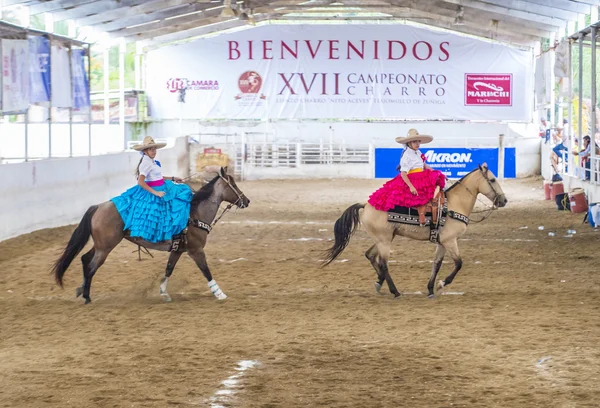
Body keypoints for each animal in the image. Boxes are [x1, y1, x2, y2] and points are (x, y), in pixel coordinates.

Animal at [51, 166, 248, 302]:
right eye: (233, 184)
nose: (246, 200)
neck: (194, 213)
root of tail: (99, 206)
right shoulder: (196, 250)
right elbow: (206, 271)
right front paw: (220, 293)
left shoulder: (178, 250)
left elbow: (169, 269)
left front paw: (164, 293)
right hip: (105, 248)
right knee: (91, 266)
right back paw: (87, 297)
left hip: (101, 245)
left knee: (85, 259)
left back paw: (81, 290)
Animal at [324, 164, 506, 298]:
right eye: (492, 179)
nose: (504, 200)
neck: (454, 205)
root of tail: (366, 204)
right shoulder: (450, 241)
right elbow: (458, 263)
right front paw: (441, 284)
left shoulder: (442, 242)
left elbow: (437, 264)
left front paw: (431, 289)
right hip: (384, 241)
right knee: (383, 263)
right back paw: (395, 291)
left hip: (384, 239)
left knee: (370, 255)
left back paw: (379, 283)